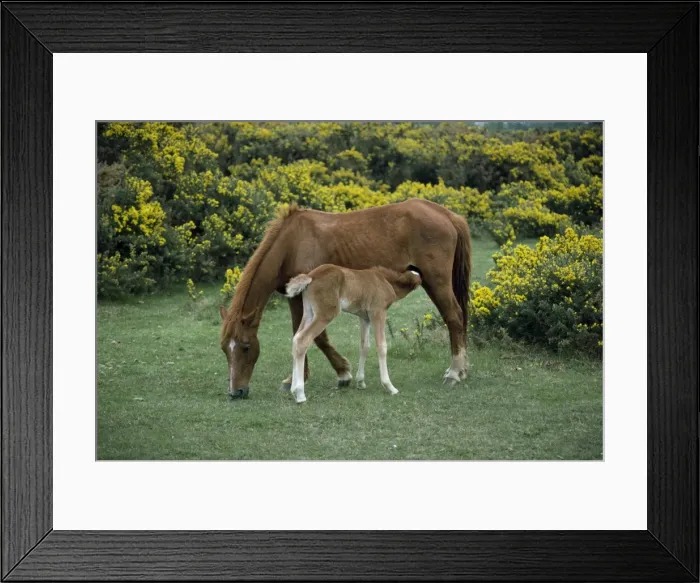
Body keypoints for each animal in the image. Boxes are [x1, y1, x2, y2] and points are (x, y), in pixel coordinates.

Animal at [284, 264, 423, 403]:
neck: (385, 280)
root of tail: (311, 276)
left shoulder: (364, 317)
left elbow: (365, 346)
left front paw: (360, 382)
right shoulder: (377, 312)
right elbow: (382, 346)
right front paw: (390, 386)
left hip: (309, 313)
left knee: (296, 338)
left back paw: (293, 388)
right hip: (325, 314)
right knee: (303, 340)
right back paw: (300, 394)